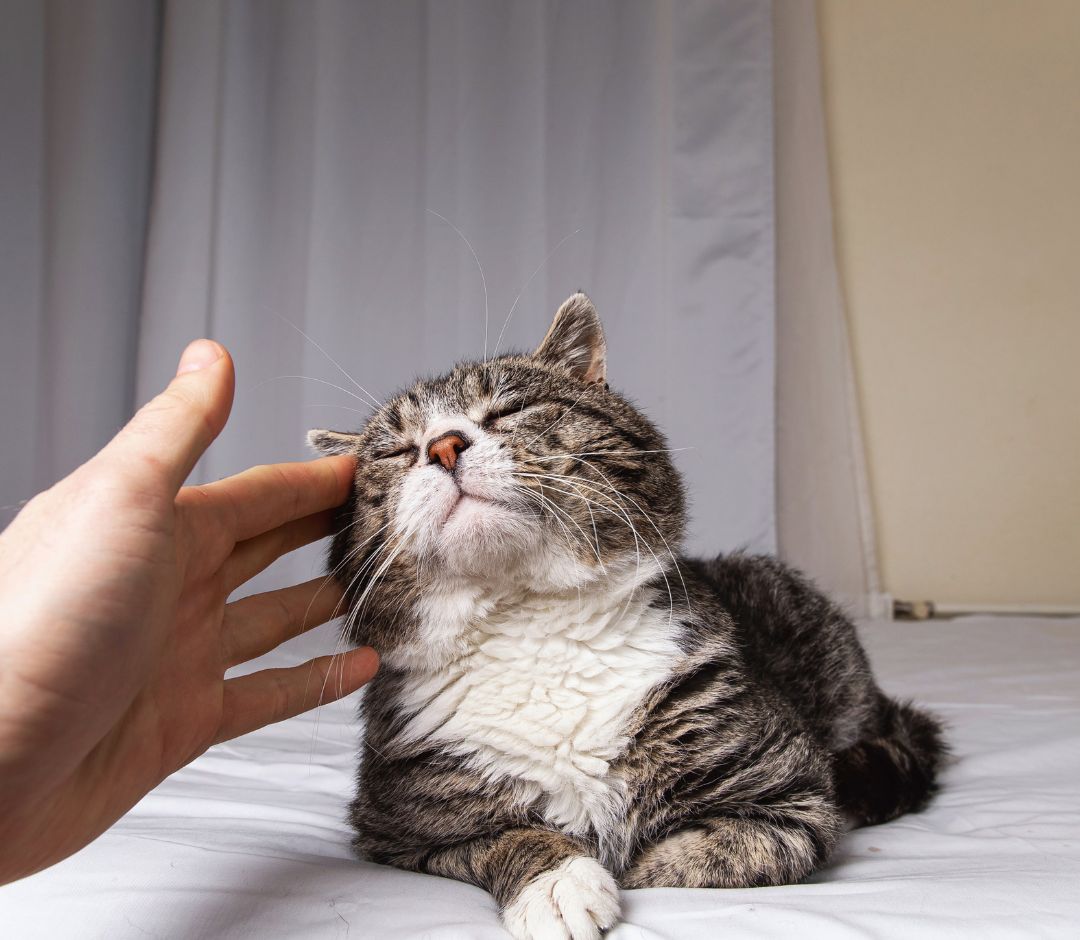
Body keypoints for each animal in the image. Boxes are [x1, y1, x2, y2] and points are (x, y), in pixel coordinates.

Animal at [311, 293, 946, 940]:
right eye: (395, 452)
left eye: (509, 408)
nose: (442, 446)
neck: (531, 625)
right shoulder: (395, 829)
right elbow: (501, 838)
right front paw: (557, 881)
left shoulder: (795, 792)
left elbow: (719, 854)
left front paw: (633, 864)